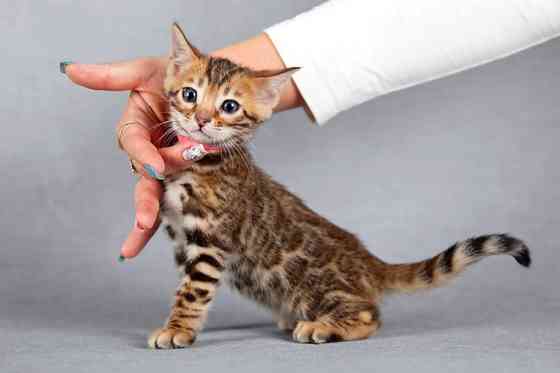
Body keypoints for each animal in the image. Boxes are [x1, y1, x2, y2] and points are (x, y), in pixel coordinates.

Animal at [147, 24, 532, 348]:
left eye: (229, 106)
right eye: (189, 94)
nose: (200, 120)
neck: (198, 165)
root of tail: (370, 263)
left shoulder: (209, 242)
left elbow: (193, 292)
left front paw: (178, 328)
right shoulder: (182, 240)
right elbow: (184, 286)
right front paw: (180, 324)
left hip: (312, 285)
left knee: (369, 314)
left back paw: (322, 326)